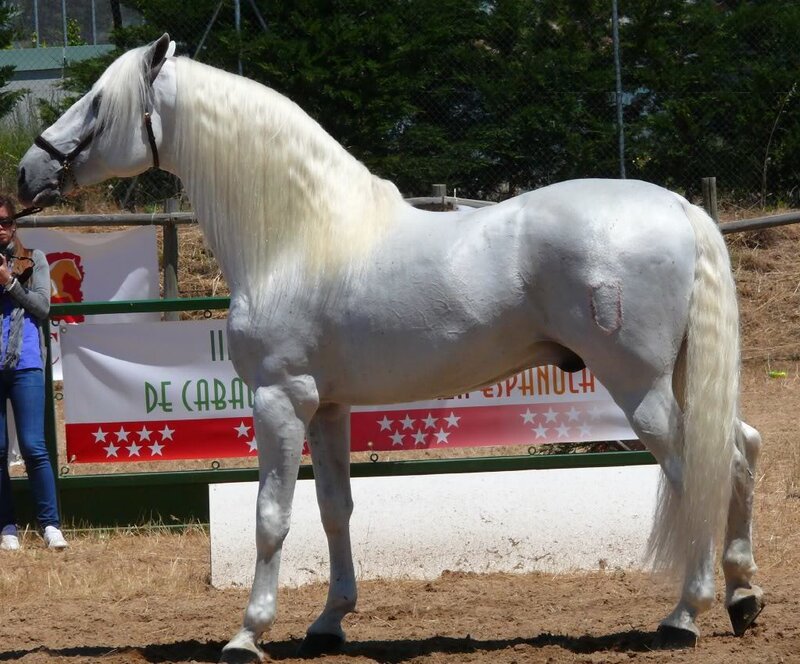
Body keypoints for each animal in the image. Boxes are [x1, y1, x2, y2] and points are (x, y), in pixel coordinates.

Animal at [17, 34, 764, 661]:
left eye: (96, 103)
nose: (27, 172)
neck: (298, 237)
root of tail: (679, 208)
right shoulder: (327, 407)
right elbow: (334, 509)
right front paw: (328, 622)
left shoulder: (280, 399)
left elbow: (271, 517)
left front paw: (247, 634)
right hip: (680, 377)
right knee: (741, 449)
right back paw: (742, 596)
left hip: (638, 385)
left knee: (699, 468)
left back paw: (685, 614)